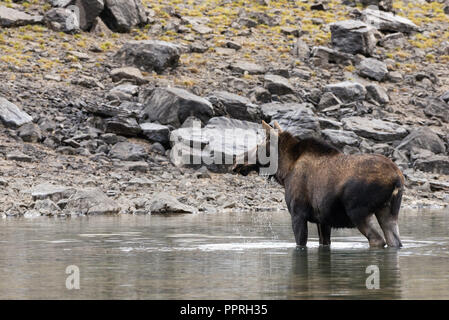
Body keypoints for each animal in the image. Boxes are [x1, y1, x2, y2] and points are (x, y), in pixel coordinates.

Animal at [233, 120, 404, 248]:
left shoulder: (298, 214)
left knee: (377, 240)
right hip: (388, 211)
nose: (237, 161)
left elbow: (300, 244)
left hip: (358, 211)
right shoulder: (323, 220)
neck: (284, 171)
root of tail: (397, 179)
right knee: (394, 241)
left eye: (259, 145)